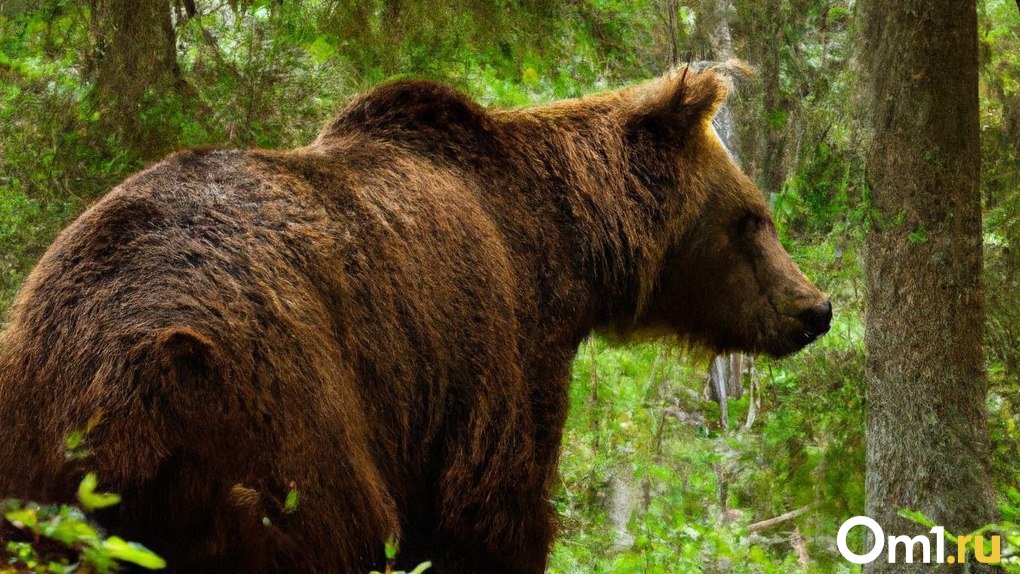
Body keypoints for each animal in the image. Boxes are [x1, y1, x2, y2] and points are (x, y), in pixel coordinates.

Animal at [0, 65, 828, 570]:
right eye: (752, 220)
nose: (814, 308)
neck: (563, 245)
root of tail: (116, 395)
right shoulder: (496, 346)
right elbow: (492, 511)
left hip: (39, 460)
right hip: (276, 401)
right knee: (338, 524)